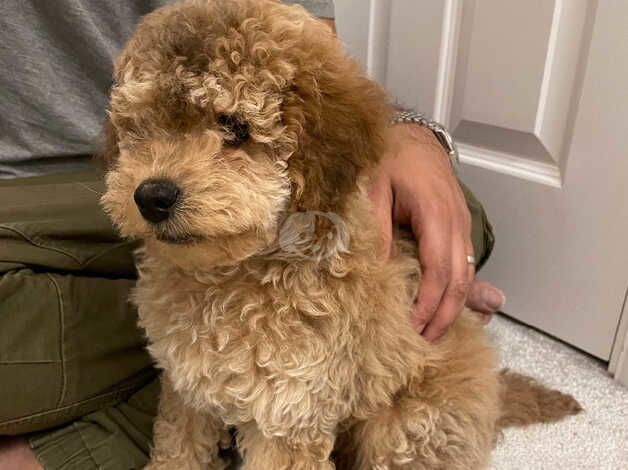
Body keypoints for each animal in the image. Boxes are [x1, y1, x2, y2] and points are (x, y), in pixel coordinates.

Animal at [102, 1, 580, 468]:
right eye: (139, 127)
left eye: (235, 127)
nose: (152, 196)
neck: (231, 277)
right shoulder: (186, 391)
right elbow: (176, 451)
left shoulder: (290, 414)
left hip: (408, 429)